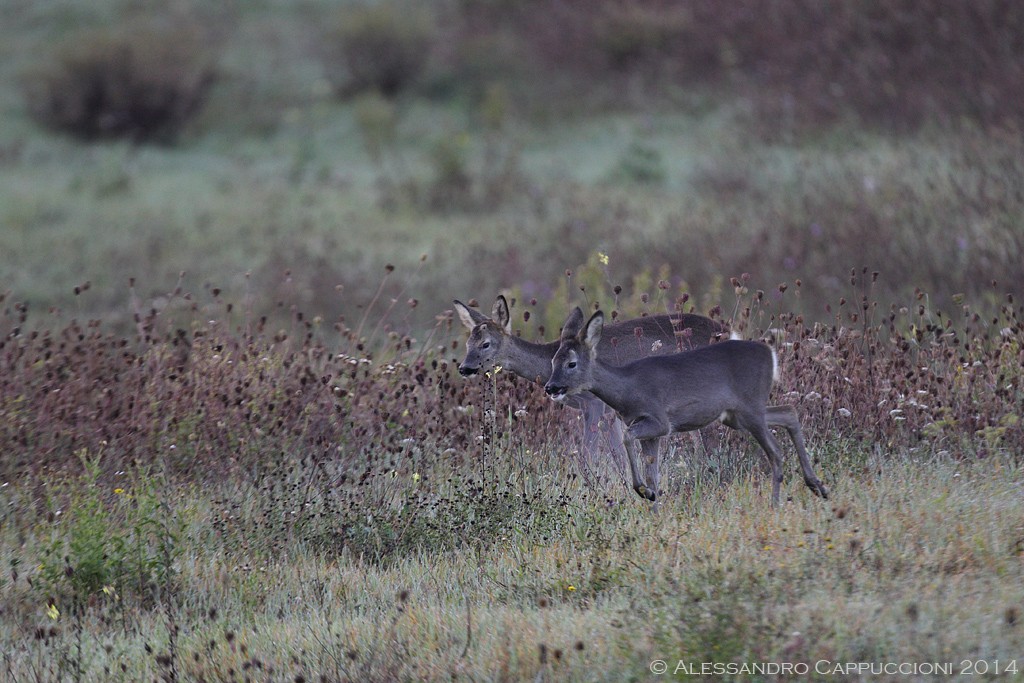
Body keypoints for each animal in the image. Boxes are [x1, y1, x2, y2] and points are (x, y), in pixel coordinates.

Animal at [454, 294, 729, 481]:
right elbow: (617, 453)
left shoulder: (594, 403)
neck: (549, 361)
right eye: (468, 342)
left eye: (486, 344)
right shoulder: (612, 412)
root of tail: (726, 331)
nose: (464, 368)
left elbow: (588, 453)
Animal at [548, 307, 827, 505]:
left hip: (750, 408)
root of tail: (771, 353)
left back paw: (776, 504)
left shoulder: (660, 421)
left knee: (776, 451)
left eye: (571, 363)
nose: (550, 387)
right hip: (738, 414)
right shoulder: (651, 431)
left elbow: (628, 439)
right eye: (553, 360)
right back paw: (817, 486)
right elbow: (653, 474)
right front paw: (653, 504)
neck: (627, 388)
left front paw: (643, 492)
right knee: (789, 412)